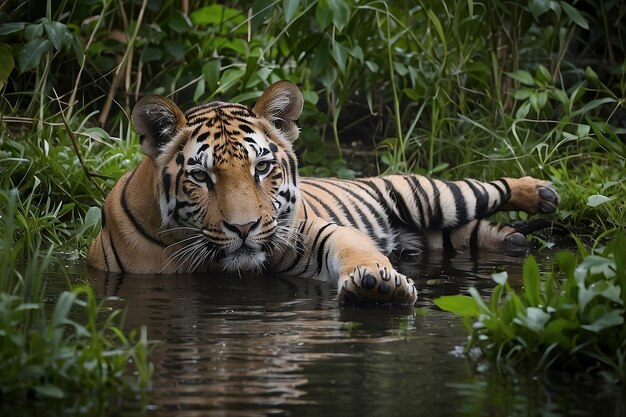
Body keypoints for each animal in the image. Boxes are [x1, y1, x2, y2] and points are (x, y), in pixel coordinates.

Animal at [86, 79, 556, 304]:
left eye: (262, 168)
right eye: (201, 178)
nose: (244, 229)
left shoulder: (310, 232)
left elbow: (355, 249)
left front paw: (377, 283)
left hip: (432, 195)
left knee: (487, 188)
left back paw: (542, 192)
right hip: (444, 230)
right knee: (474, 232)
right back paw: (515, 240)